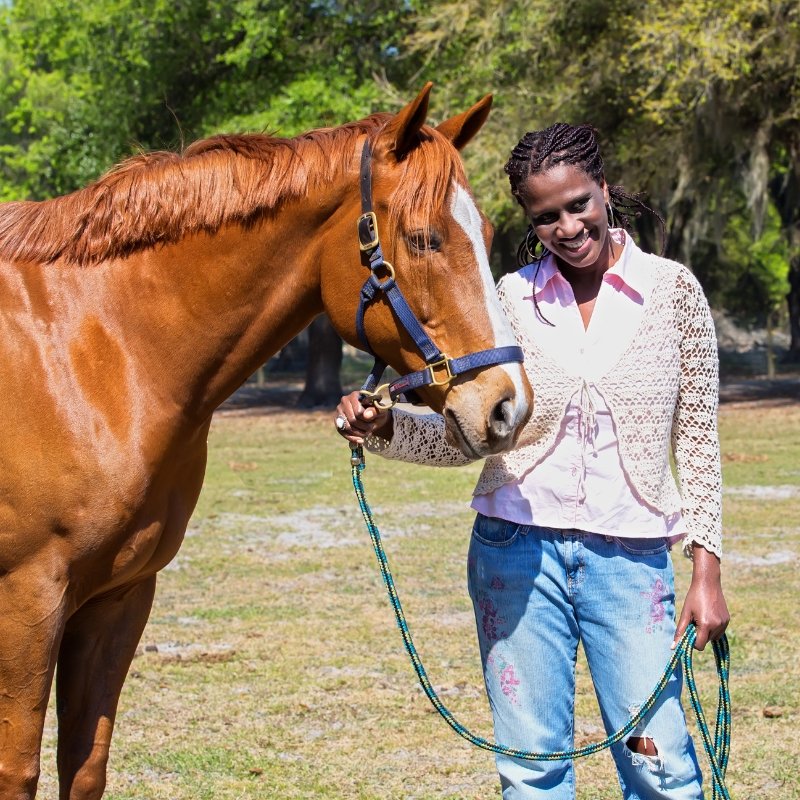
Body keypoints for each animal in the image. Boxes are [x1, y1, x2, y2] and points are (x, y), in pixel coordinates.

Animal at [0, 83, 532, 799]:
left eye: (492, 235)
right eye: (425, 239)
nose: (509, 406)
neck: (93, 353)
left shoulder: (119, 598)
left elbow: (84, 765)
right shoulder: (27, 602)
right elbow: (18, 769)